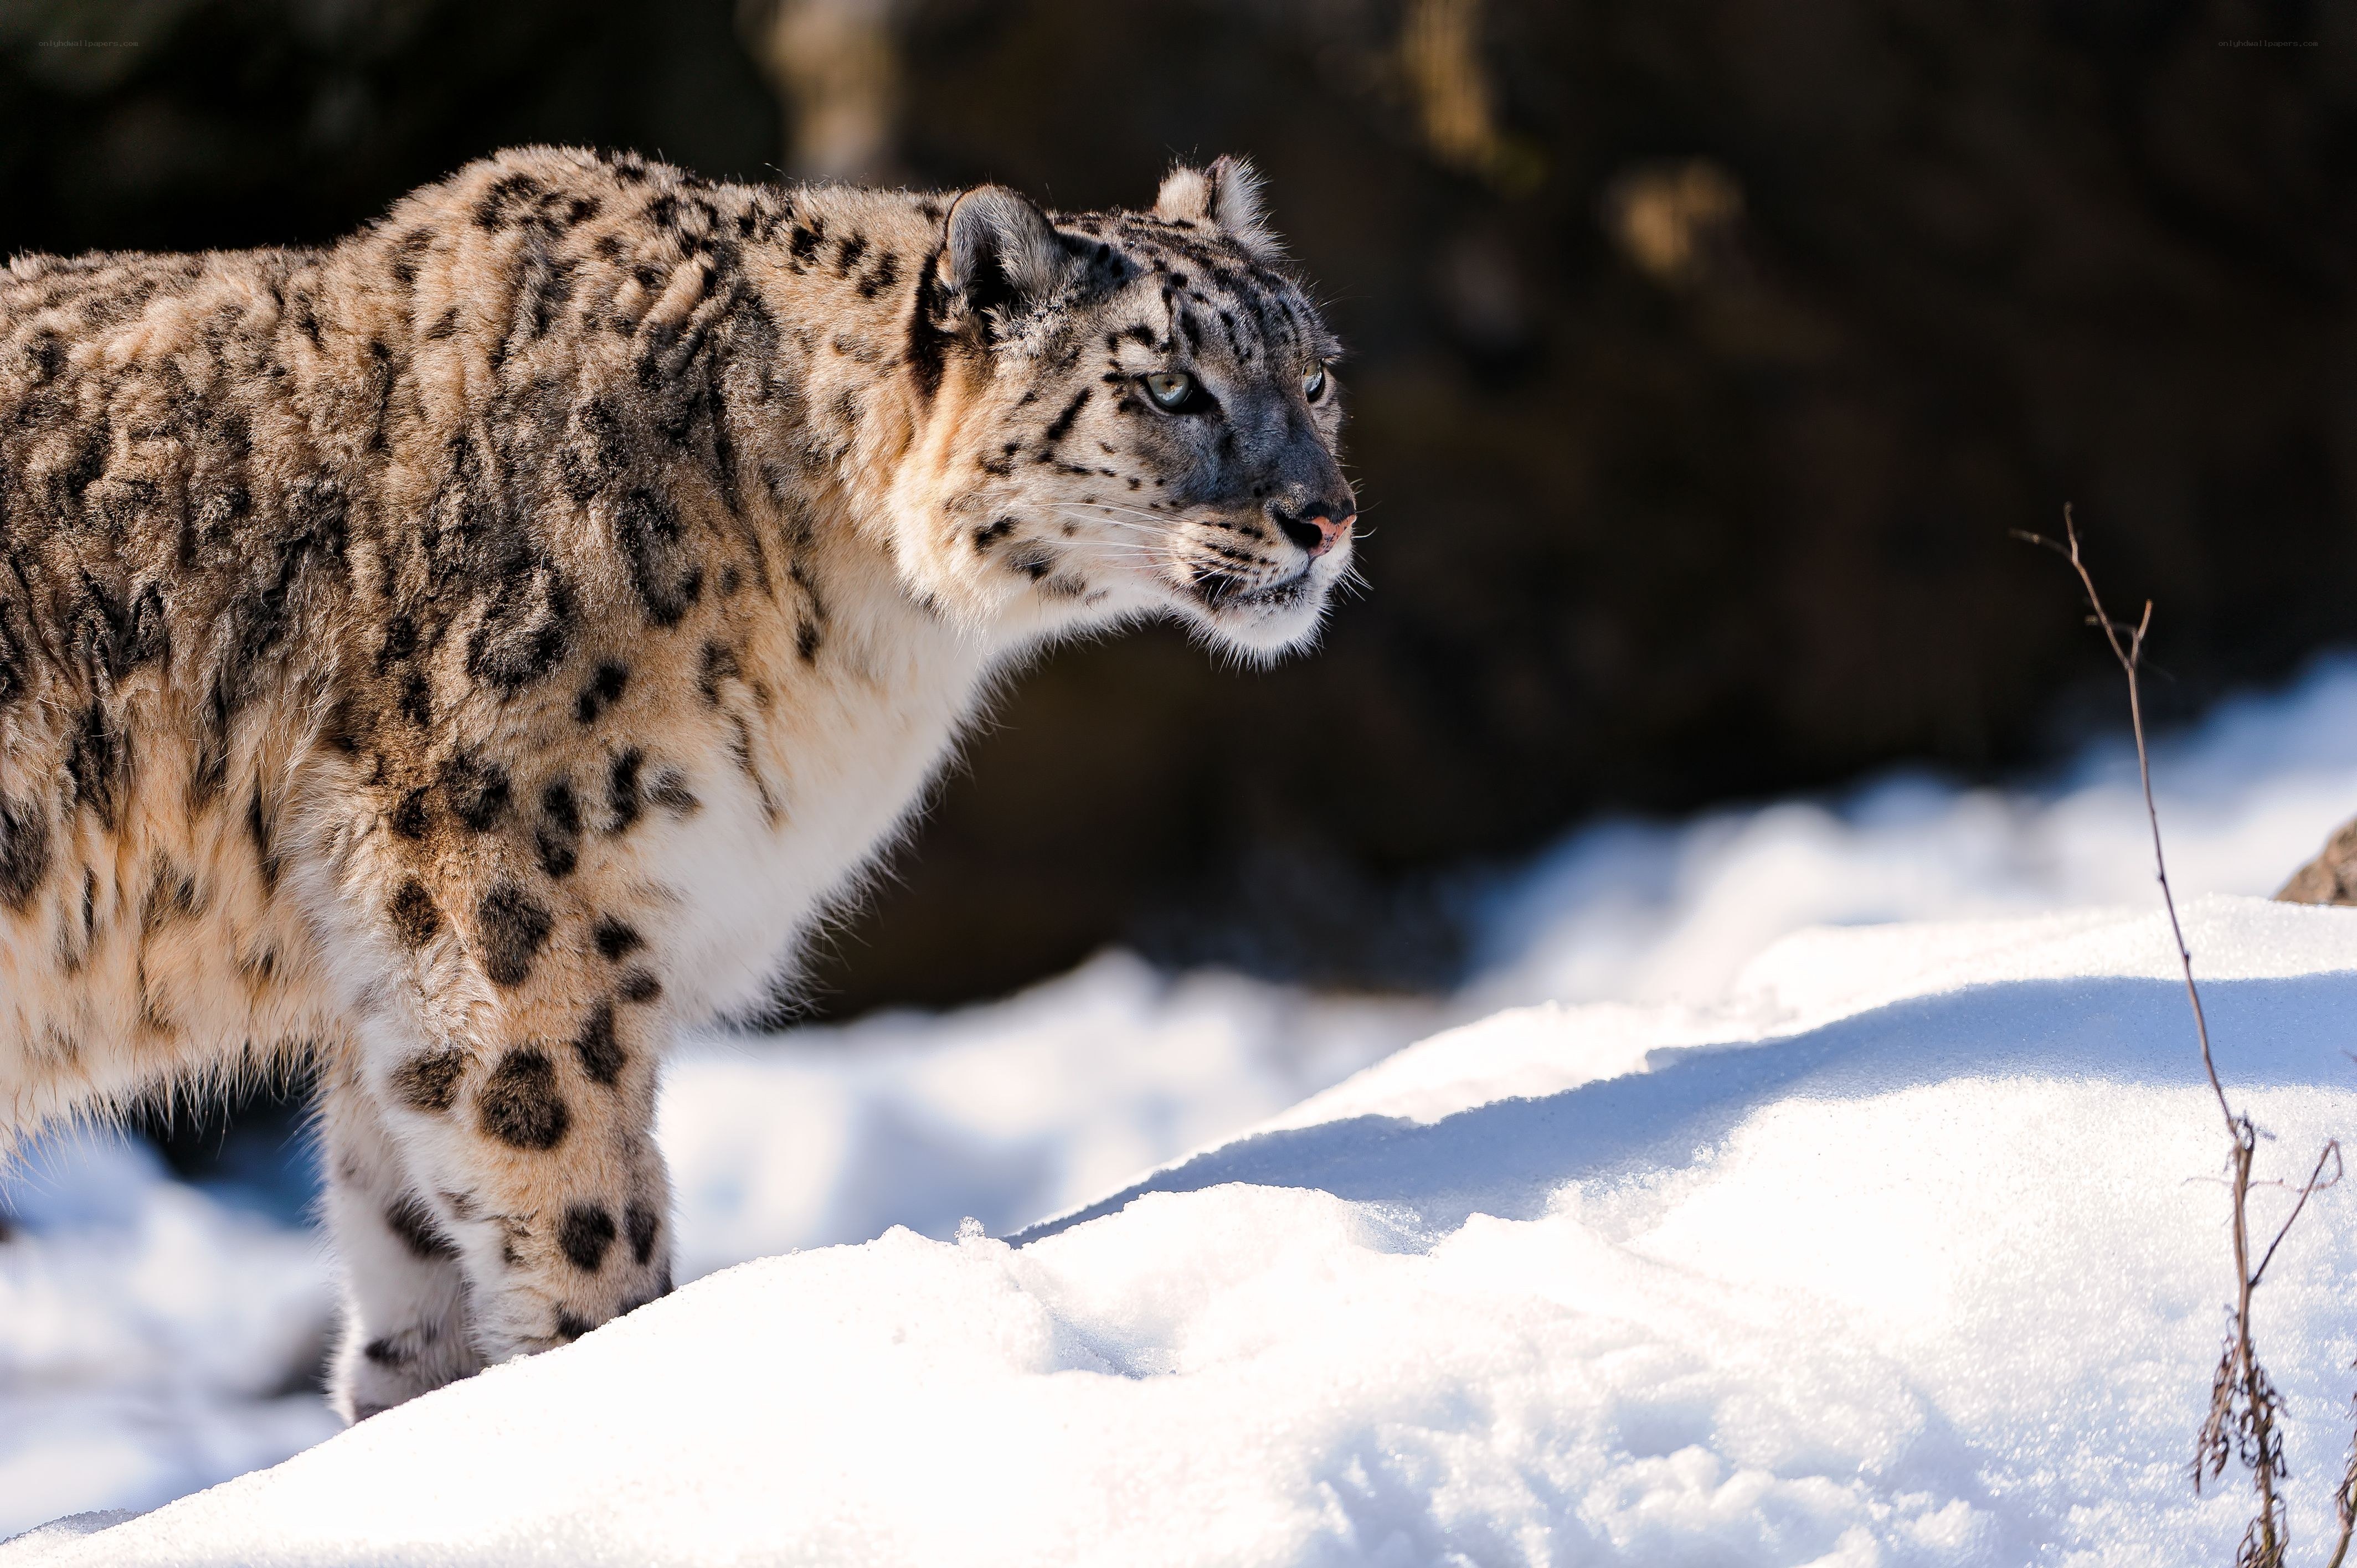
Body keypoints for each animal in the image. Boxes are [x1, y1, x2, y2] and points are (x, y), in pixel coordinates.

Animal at [0, 145, 1354, 1420]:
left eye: (1316, 375)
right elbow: (579, 1205)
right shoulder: (508, 909)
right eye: (1168, 384)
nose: (1326, 515)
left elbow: (411, 1262)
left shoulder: (388, 992)